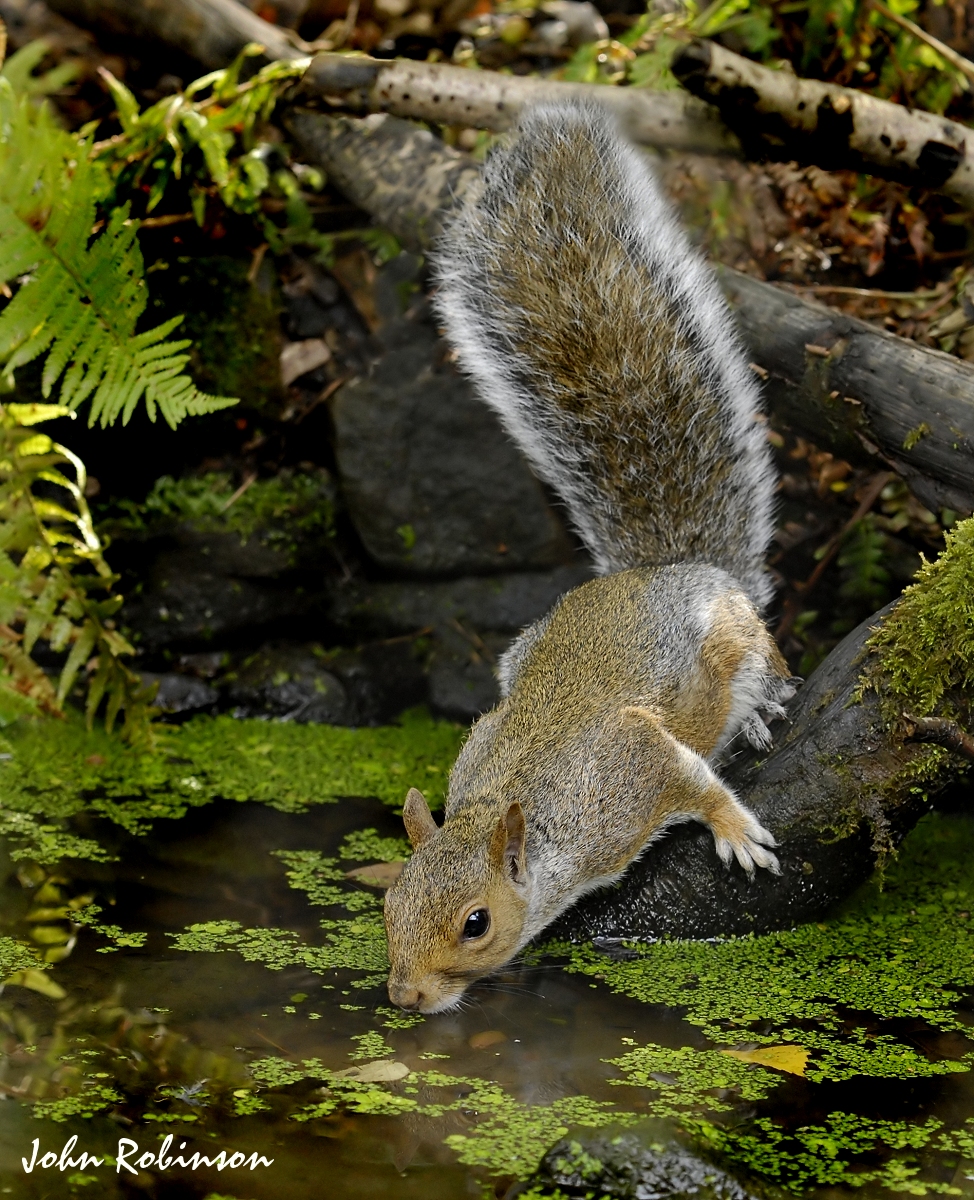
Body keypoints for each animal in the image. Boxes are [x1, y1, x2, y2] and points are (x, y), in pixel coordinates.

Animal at [384, 99, 796, 1014]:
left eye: (475, 924)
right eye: (389, 902)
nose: (407, 999)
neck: (521, 818)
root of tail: (664, 569)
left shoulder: (629, 771)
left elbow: (693, 782)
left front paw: (734, 829)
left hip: (732, 631)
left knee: (767, 656)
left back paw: (757, 705)